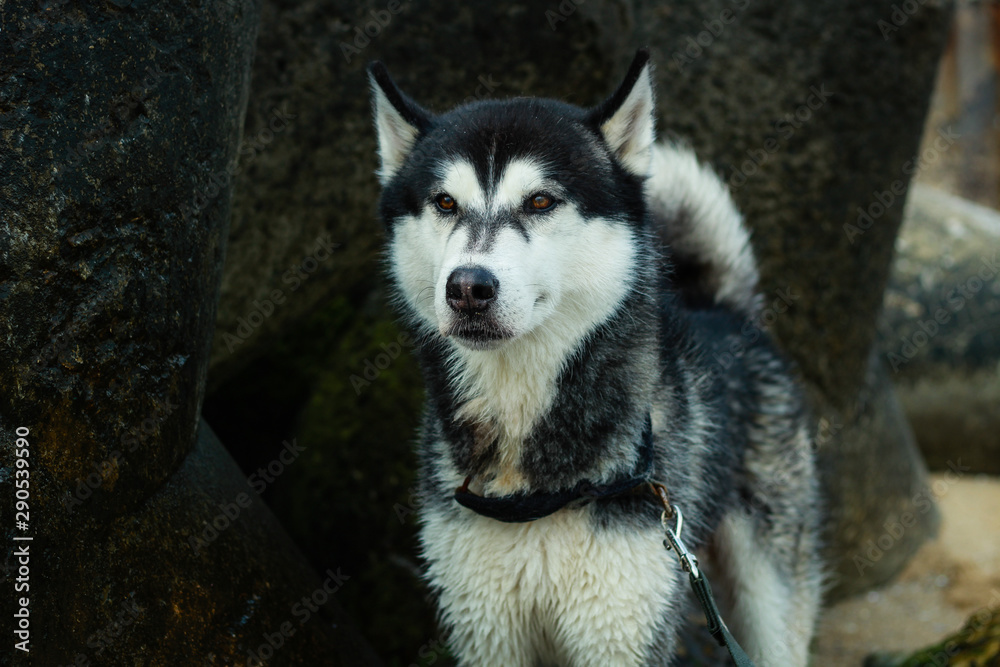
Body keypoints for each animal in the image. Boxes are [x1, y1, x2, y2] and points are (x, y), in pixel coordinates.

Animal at [368, 49, 820, 664]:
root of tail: (722, 309)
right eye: (444, 202)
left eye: (540, 201)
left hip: (768, 594)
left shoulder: (621, 629)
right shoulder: (488, 630)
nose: (467, 287)